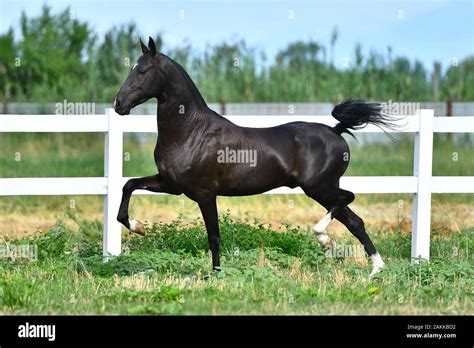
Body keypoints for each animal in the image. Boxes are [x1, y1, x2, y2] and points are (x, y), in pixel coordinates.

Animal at [114, 37, 396, 278]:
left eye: (142, 71)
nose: (118, 104)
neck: (191, 131)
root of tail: (336, 130)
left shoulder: (205, 193)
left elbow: (213, 236)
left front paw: (215, 274)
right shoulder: (171, 185)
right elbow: (128, 186)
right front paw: (138, 226)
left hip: (318, 187)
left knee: (348, 199)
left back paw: (324, 238)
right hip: (322, 189)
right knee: (355, 221)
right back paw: (375, 269)